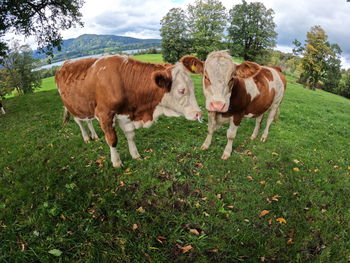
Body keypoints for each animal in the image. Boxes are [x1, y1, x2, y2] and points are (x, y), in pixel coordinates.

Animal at [55, 55, 202, 167]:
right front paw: (116, 162)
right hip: (72, 106)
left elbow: (130, 136)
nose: (198, 113)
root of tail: (64, 64)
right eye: (181, 90)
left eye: (192, 86)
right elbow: (112, 140)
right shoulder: (104, 114)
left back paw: (94, 136)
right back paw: (86, 137)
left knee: (88, 121)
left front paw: (135, 155)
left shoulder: (126, 115)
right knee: (79, 122)